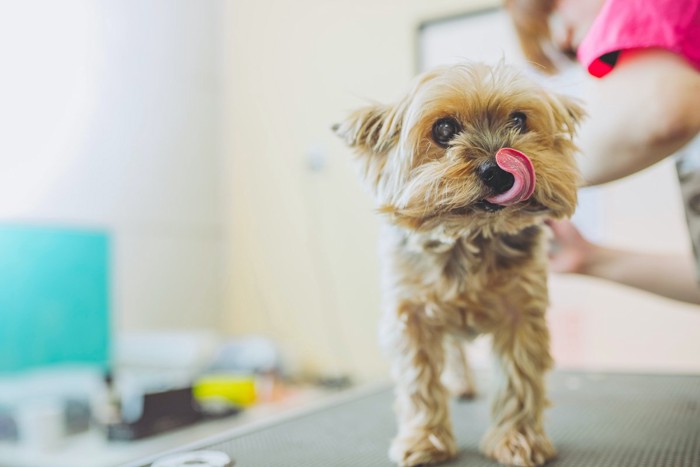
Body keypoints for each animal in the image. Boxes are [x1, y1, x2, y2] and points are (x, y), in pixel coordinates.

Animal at [336, 63, 584, 467]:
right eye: (444, 129)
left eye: (519, 119)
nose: (498, 170)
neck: (469, 235)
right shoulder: (411, 316)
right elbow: (419, 381)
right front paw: (425, 439)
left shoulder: (521, 312)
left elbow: (519, 378)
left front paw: (518, 439)